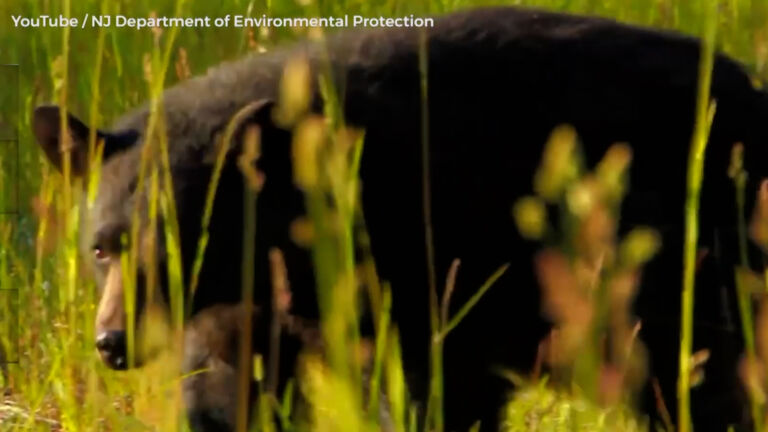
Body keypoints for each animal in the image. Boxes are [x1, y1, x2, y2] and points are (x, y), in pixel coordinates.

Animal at [32, 6, 768, 431]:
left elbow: (433, 388)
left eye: (183, 243)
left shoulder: (428, 264)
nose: (112, 341)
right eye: (101, 248)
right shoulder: (247, 311)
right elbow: (227, 390)